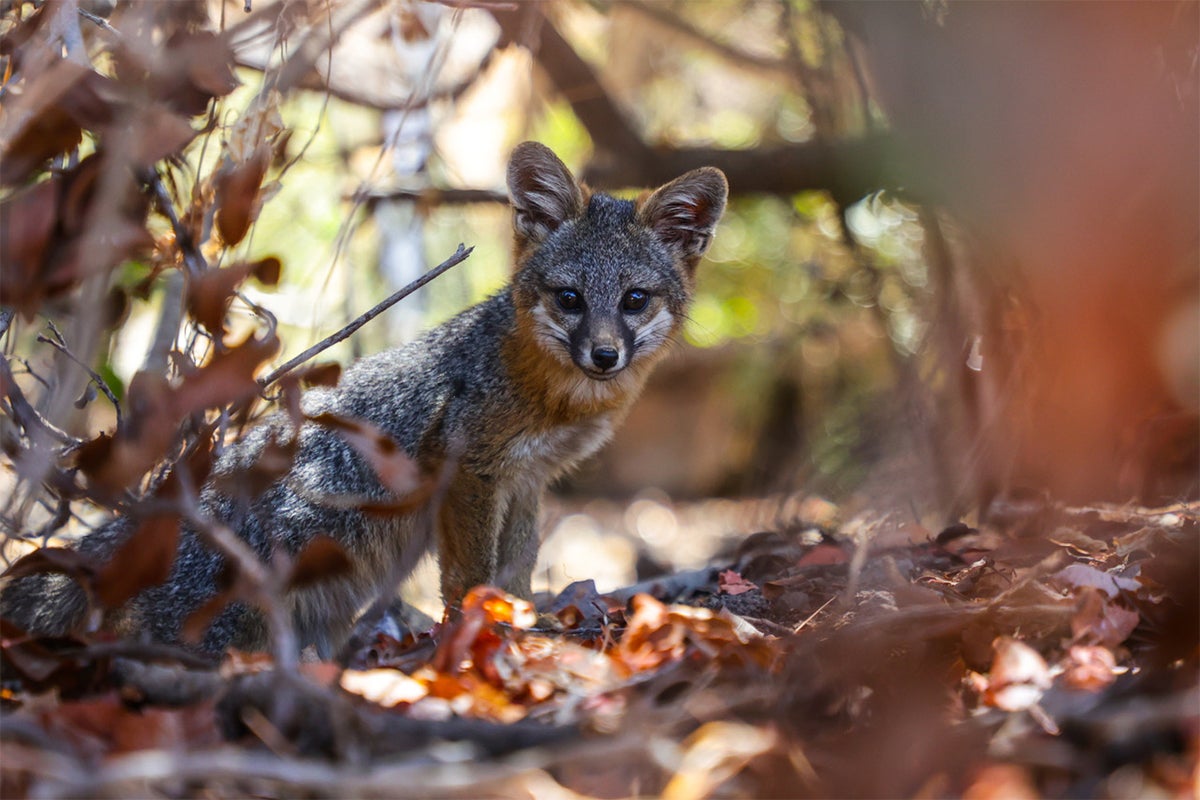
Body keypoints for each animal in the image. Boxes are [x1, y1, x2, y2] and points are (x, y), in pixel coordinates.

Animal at [0, 142, 724, 657]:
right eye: (570, 298)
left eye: (634, 300)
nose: (603, 355)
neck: (548, 395)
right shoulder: (469, 471)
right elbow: (470, 577)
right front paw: (479, 635)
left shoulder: (526, 479)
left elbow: (515, 567)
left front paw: (526, 617)